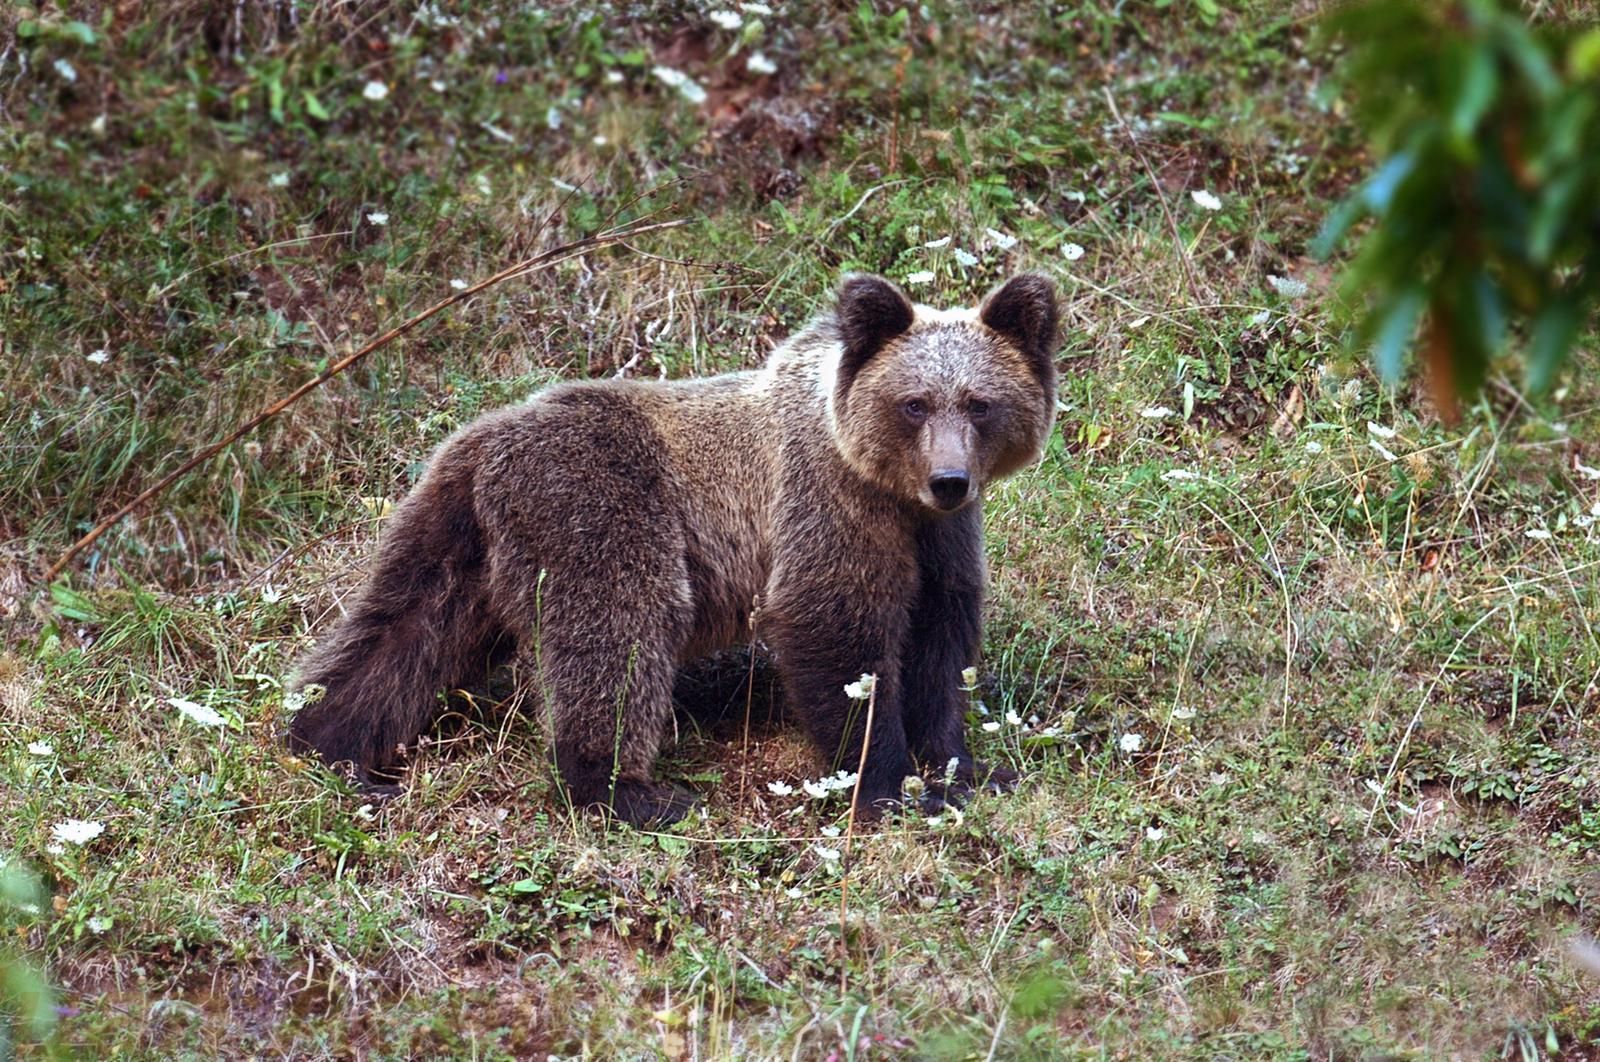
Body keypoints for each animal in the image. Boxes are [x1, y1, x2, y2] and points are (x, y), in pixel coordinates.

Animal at [285, 272, 1060, 826]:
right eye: (914, 403)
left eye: (980, 403)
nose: (950, 479)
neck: (888, 487)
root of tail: (486, 442)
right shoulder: (830, 505)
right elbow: (835, 629)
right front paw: (887, 783)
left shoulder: (938, 541)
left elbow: (940, 641)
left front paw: (966, 767)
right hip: (603, 508)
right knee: (621, 636)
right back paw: (630, 793)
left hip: (457, 540)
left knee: (402, 632)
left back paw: (328, 741)